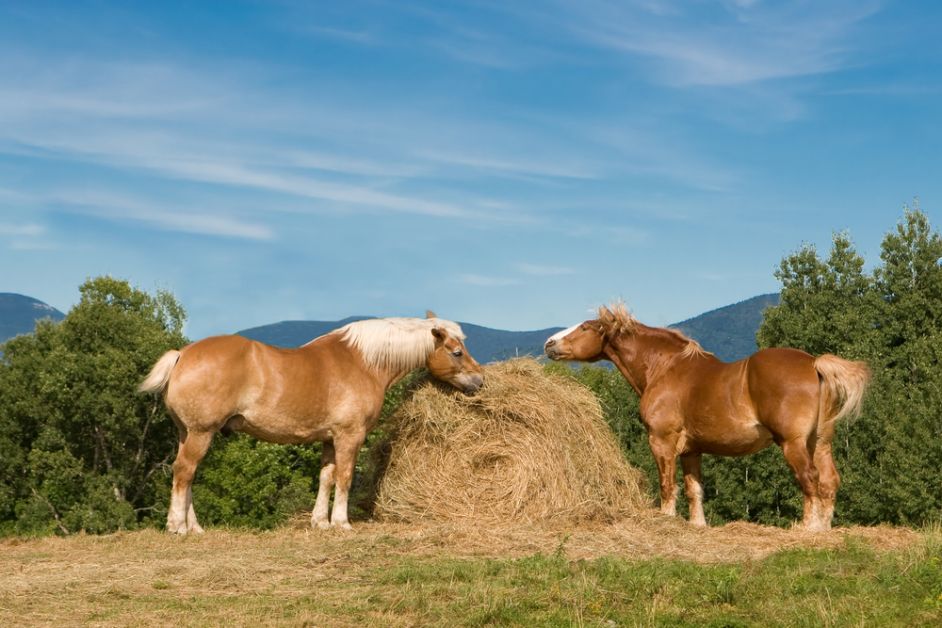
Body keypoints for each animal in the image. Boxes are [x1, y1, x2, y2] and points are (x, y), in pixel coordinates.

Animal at [139, 313, 484, 534]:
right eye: (456, 351)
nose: (479, 380)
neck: (363, 362)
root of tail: (182, 354)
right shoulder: (350, 436)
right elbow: (344, 478)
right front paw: (341, 523)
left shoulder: (329, 439)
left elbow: (326, 478)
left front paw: (320, 522)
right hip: (201, 433)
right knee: (184, 473)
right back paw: (177, 526)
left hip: (188, 434)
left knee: (187, 476)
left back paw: (194, 526)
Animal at [544, 303, 870, 531]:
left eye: (587, 327)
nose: (549, 344)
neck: (665, 368)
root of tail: (814, 363)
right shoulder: (692, 450)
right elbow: (694, 490)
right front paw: (697, 525)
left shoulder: (661, 441)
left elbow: (667, 484)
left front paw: (666, 519)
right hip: (820, 443)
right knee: (829, 481)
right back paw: (824, 528)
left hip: (794, 444)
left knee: (810, 479)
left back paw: (808, 528)